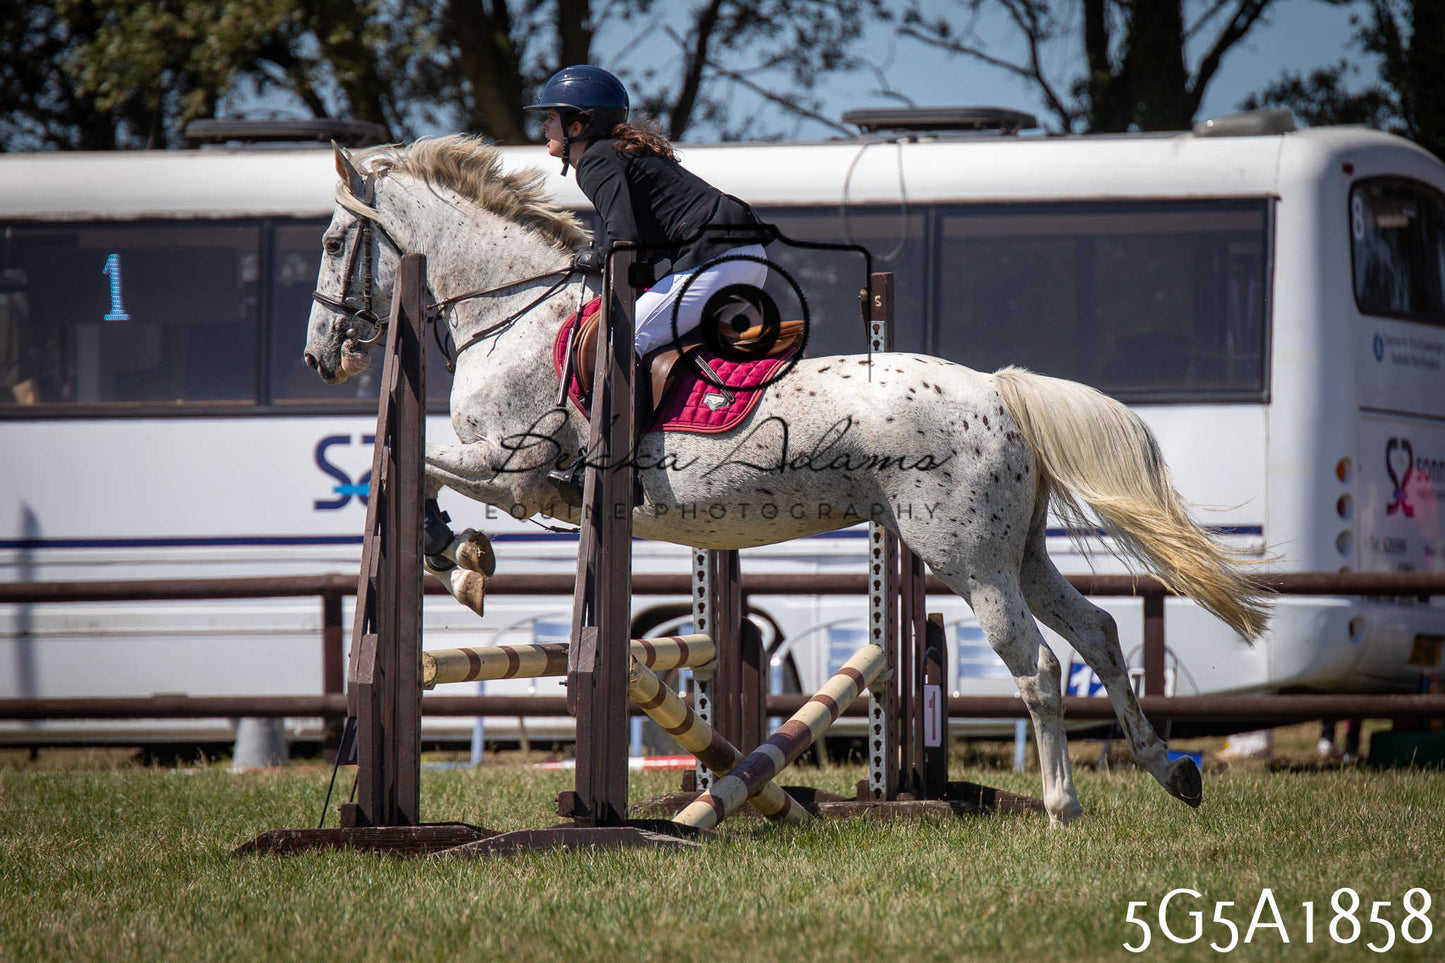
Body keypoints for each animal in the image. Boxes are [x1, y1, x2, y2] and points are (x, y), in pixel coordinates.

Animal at [304, 134, 1271, 826]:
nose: (321, 358)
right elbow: (415, 471)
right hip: (1016, 550)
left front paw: (457, 556)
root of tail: (997, 390)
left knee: (1034, 665)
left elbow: (417, 471)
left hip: (966, 557)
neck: (512, 310)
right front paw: (463, 557)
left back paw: (1061, 807)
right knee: (1098, 633)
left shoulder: (514, 470)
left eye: (333, 241)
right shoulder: (519, 477)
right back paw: (1169, 770)